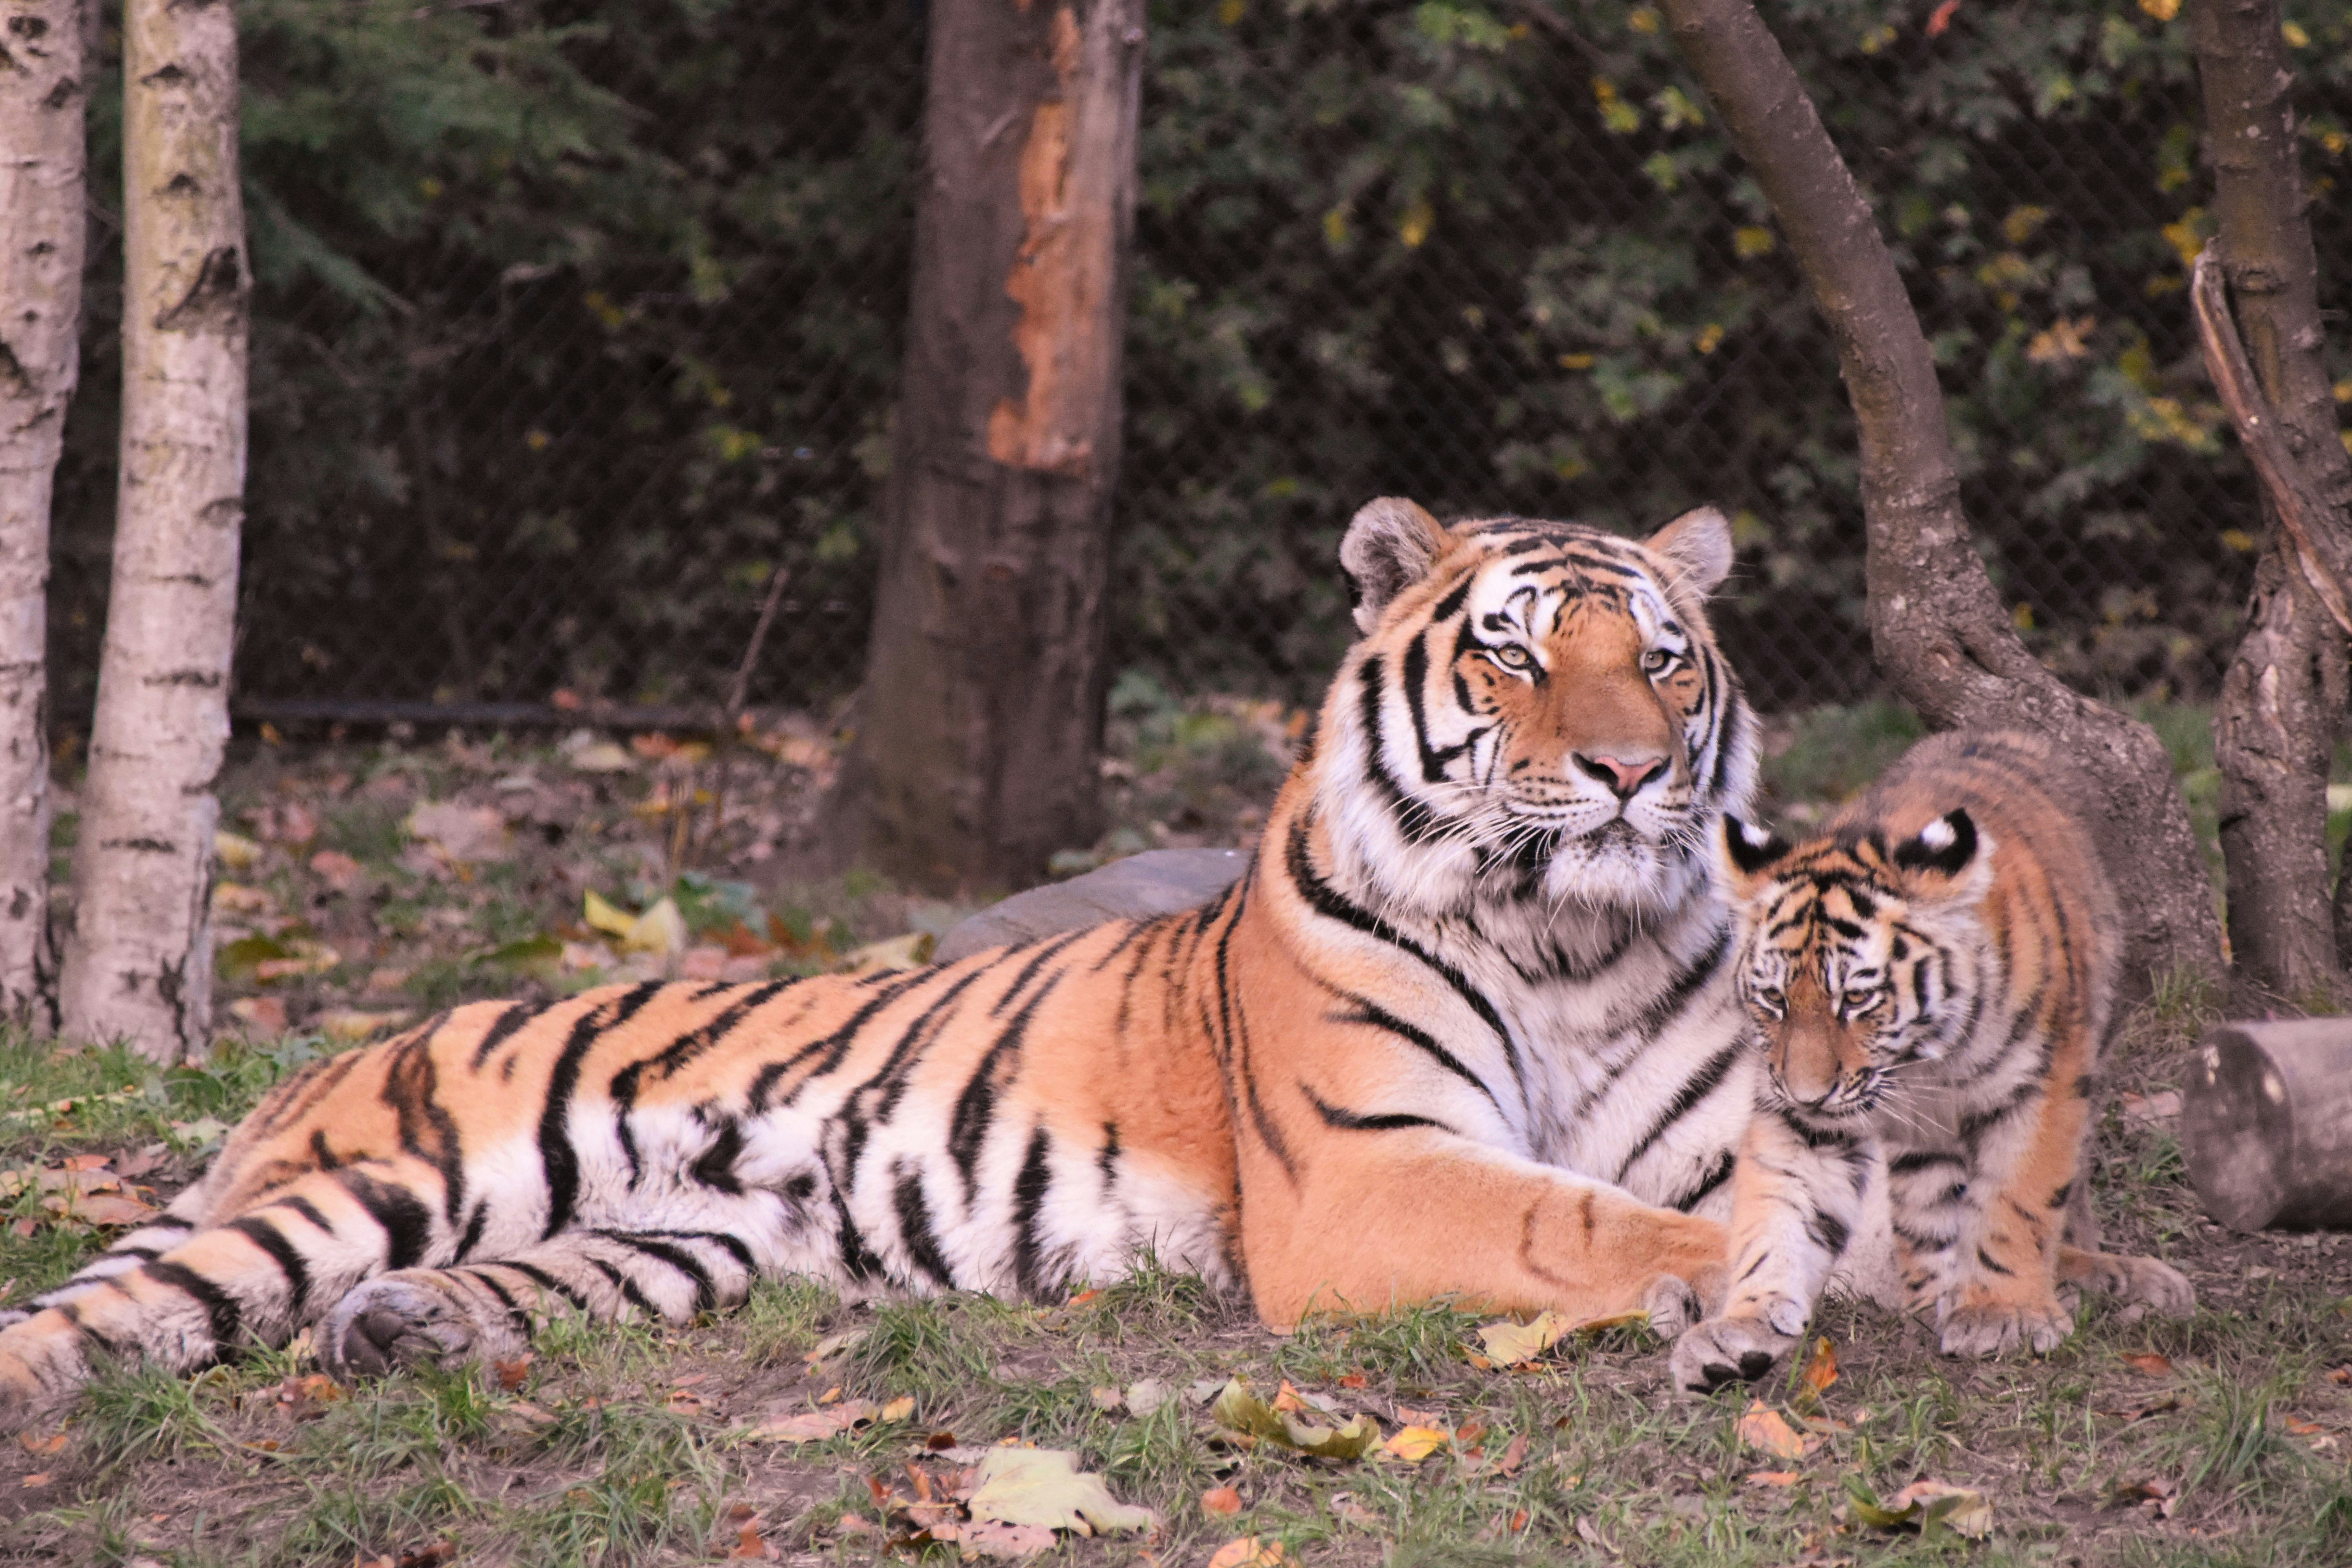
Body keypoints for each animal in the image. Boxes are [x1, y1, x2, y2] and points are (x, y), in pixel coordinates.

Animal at [0, 496, 1768, 1429]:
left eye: (1660, 660)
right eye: (1513, 651)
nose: (1625, 771)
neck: (1566, 939)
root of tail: (320, 1060)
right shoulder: (1364, 1172)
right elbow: (1584, 1216)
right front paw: (1743, 1291)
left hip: (684, 1242)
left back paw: (403, 1332)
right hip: (388, 1179)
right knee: (119, 1311)